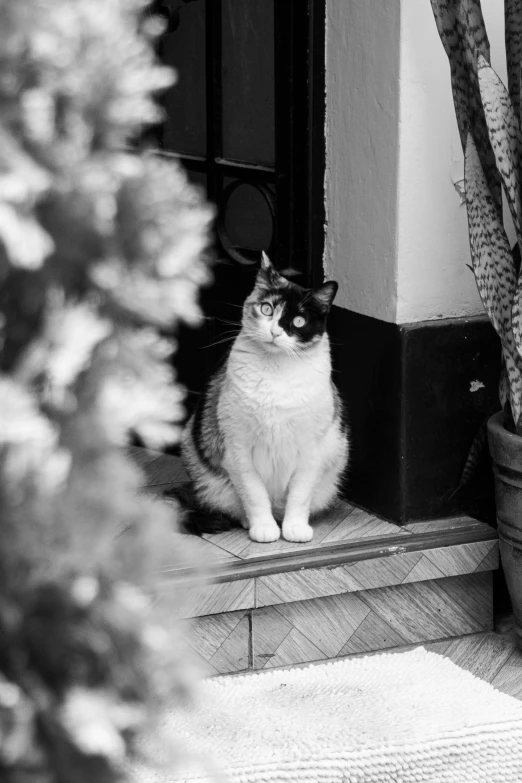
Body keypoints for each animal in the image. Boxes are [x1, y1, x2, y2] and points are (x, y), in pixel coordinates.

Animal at [181, 254, 348, 544]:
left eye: (299, 322)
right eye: (267, 309)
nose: (274, 333)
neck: (276, 371)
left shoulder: (311, 449)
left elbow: (300, 495)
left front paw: (295, 529)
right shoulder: (237, 448)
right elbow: (254, 494)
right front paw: (264, 529)